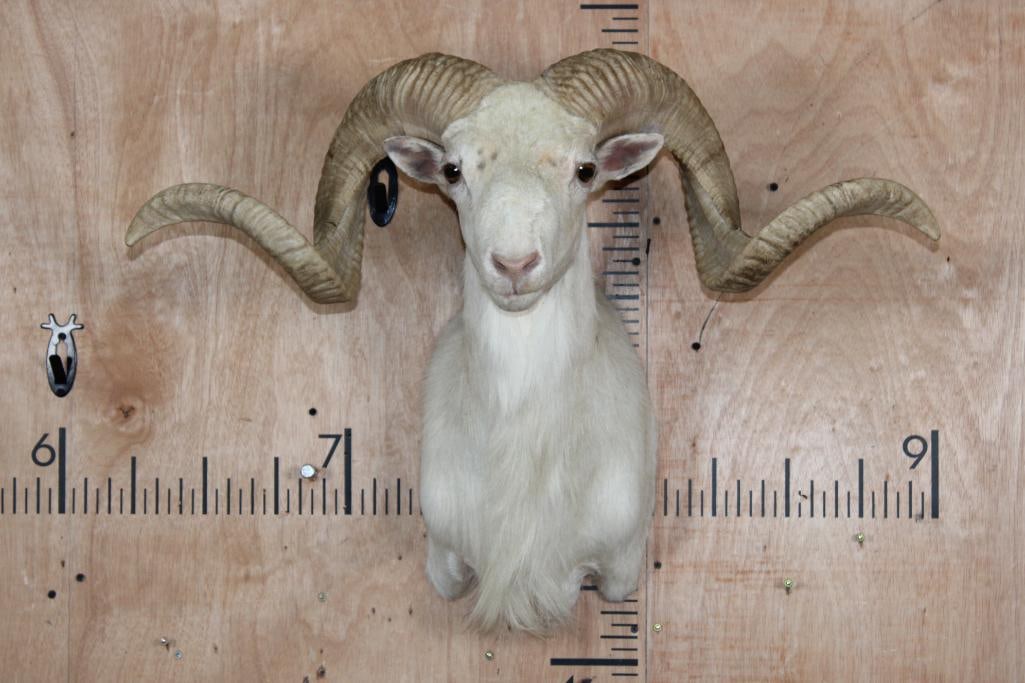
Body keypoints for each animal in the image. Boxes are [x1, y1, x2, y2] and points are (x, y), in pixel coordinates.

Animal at [126, 50, 939, 633]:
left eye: (584, 168)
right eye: (455, 170)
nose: (514, 265)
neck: (527, 466)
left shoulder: (617, 568)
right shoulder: (445, 561)